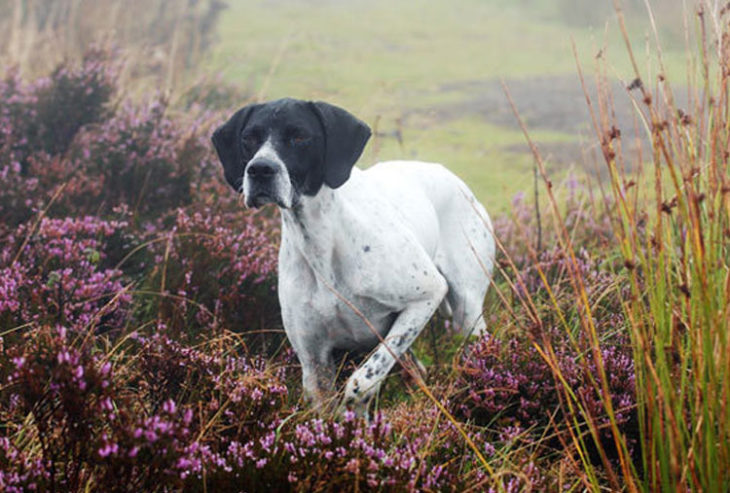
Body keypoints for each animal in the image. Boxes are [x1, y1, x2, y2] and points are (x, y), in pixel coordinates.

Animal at [210, 99, 494, 416]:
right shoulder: (314, 363)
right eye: (249, 138)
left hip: (467, 313)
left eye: (300, 136)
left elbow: (363, 381)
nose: (260, 169)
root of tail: (451, 176)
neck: (322, 242)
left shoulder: (427, 294)